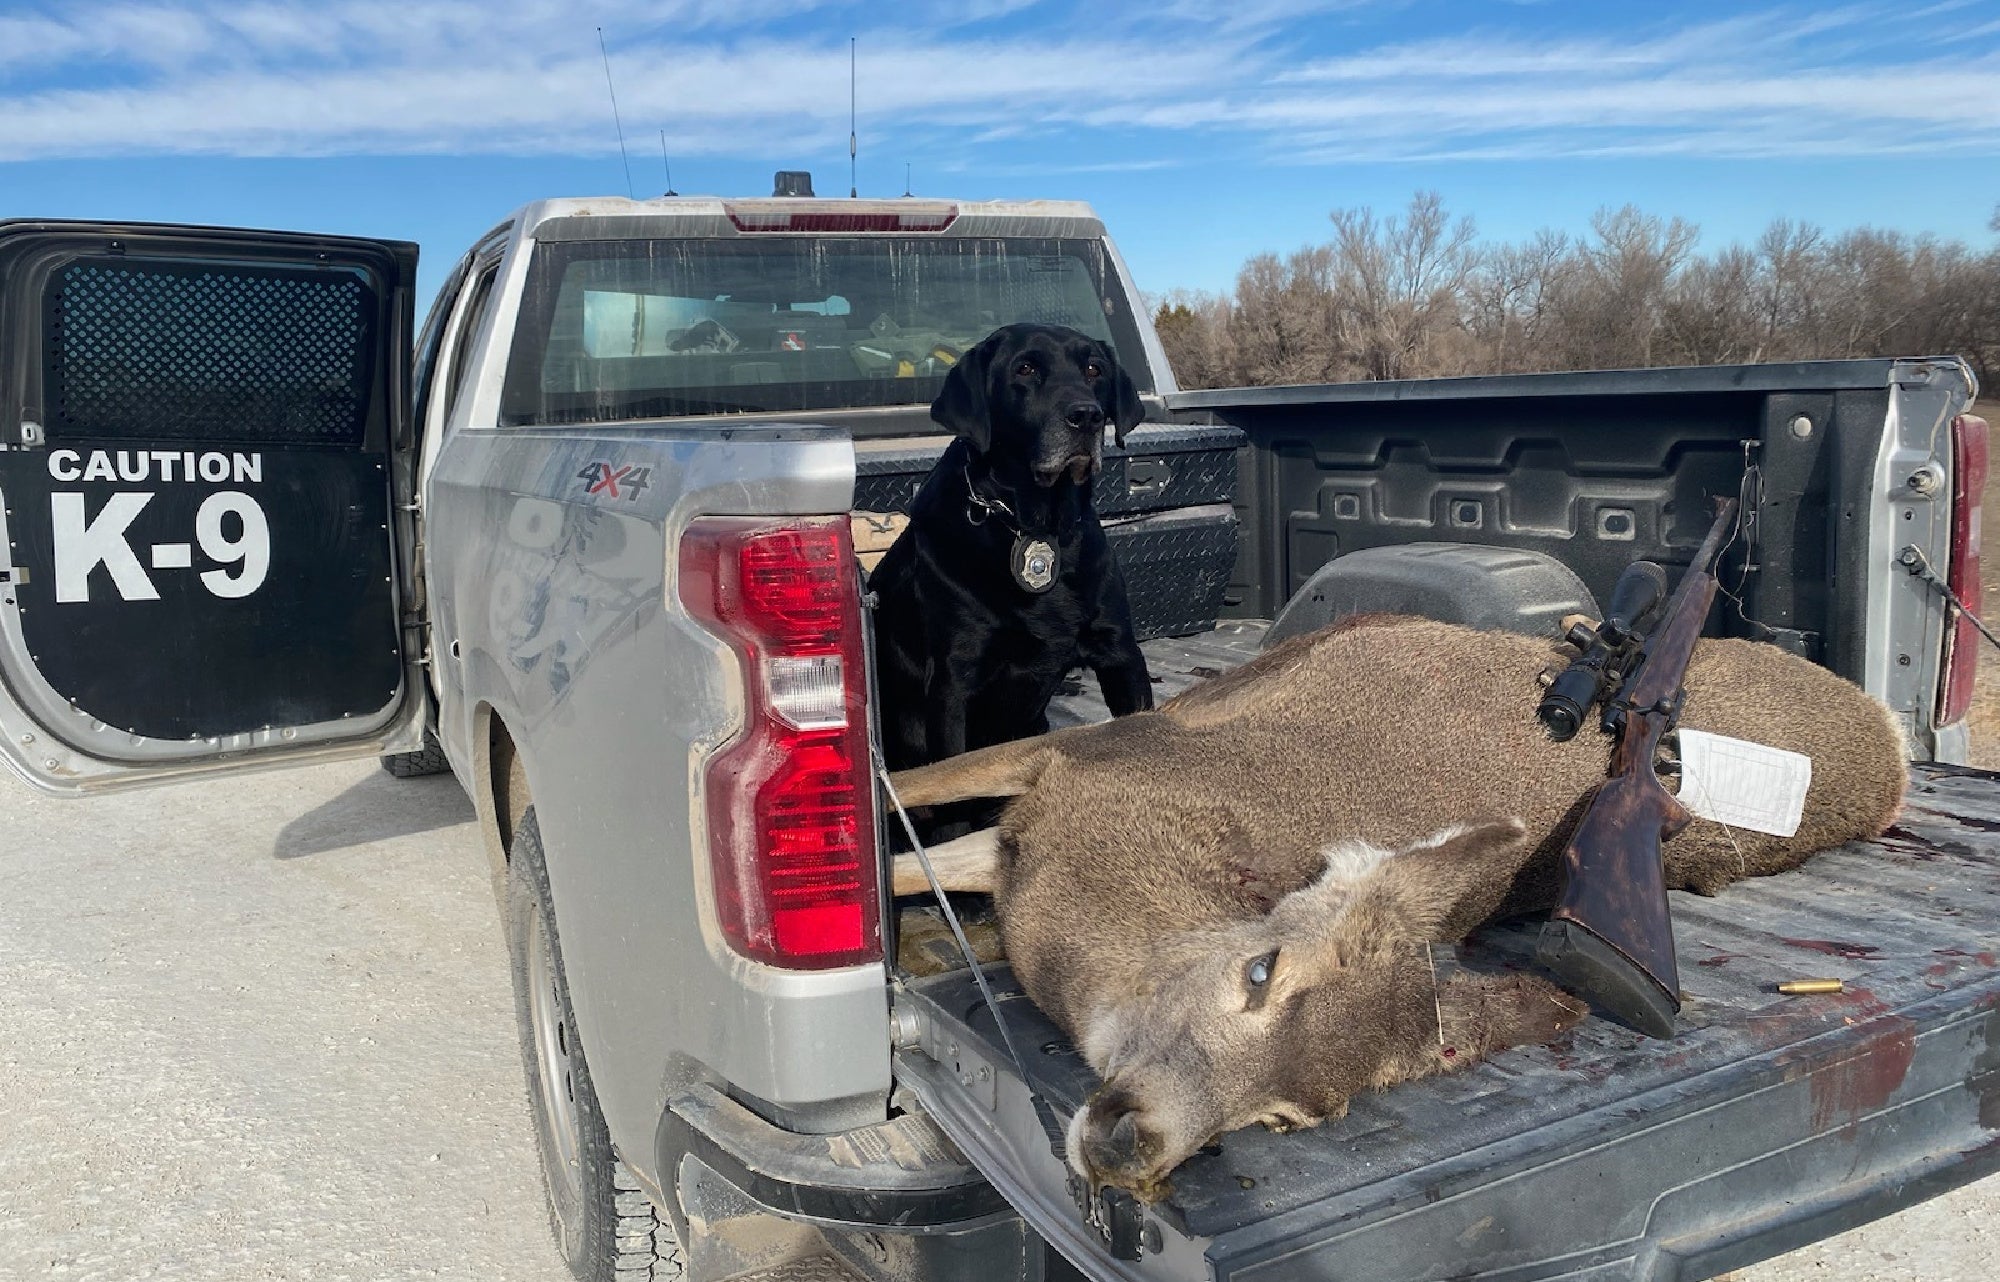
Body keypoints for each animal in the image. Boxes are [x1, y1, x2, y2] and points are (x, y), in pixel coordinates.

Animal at [885, 615, 1910, 1202]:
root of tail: (1895, 747)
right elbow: (907, 797)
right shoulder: (1082, 757)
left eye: (1287, 1118)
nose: (1131, 1145)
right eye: (1259, 969)